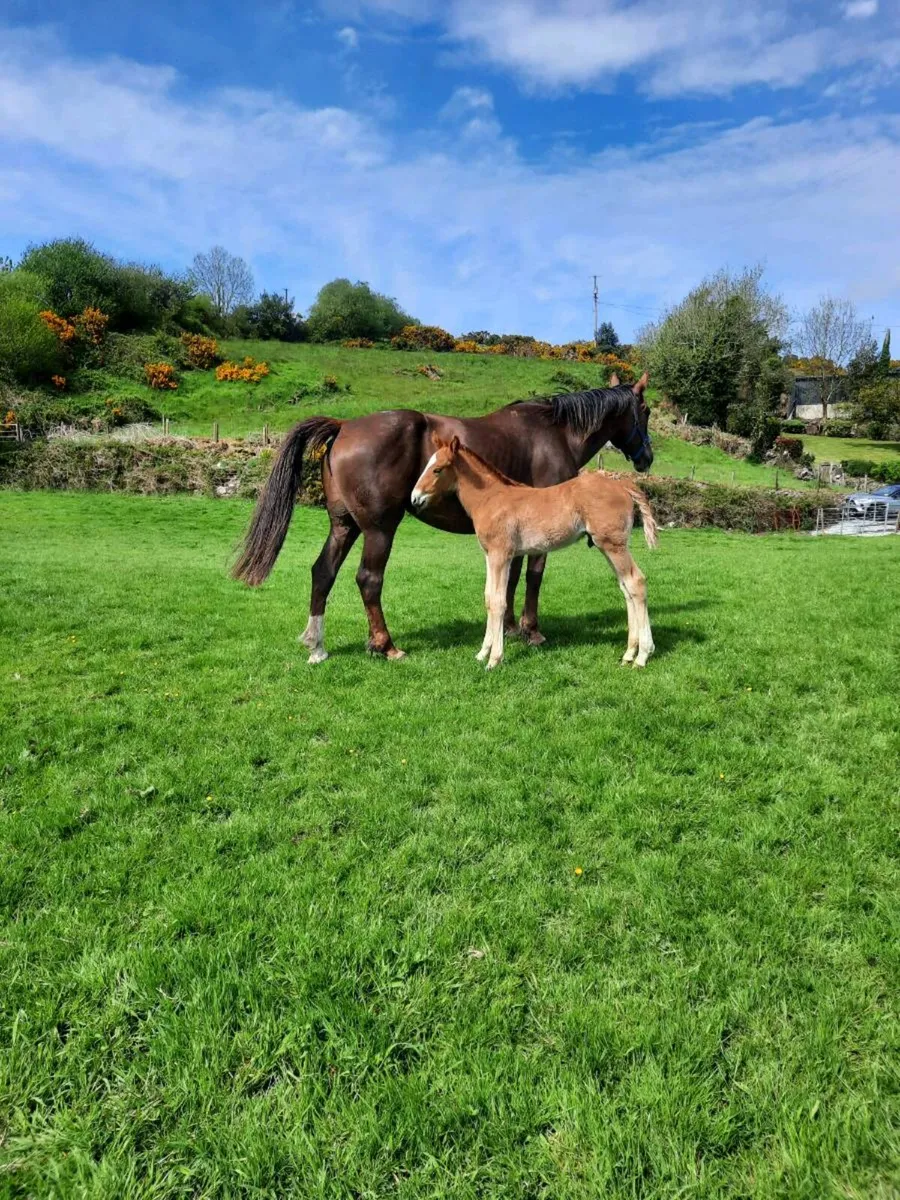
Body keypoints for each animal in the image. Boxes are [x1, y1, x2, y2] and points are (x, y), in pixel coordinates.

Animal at [410, 435, 657, 670]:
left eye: (437, 469)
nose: (414, 498)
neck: (491, 498)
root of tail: (623, 485)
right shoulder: (490, 555)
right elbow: (489, 598)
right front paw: (482, 654)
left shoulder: (501, 554)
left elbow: (499, 602)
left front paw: (494, 659)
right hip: (606, 546)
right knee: (626, 588)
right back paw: (629, 653)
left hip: (613, 546)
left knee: (636, 582)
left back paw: (642, 655)